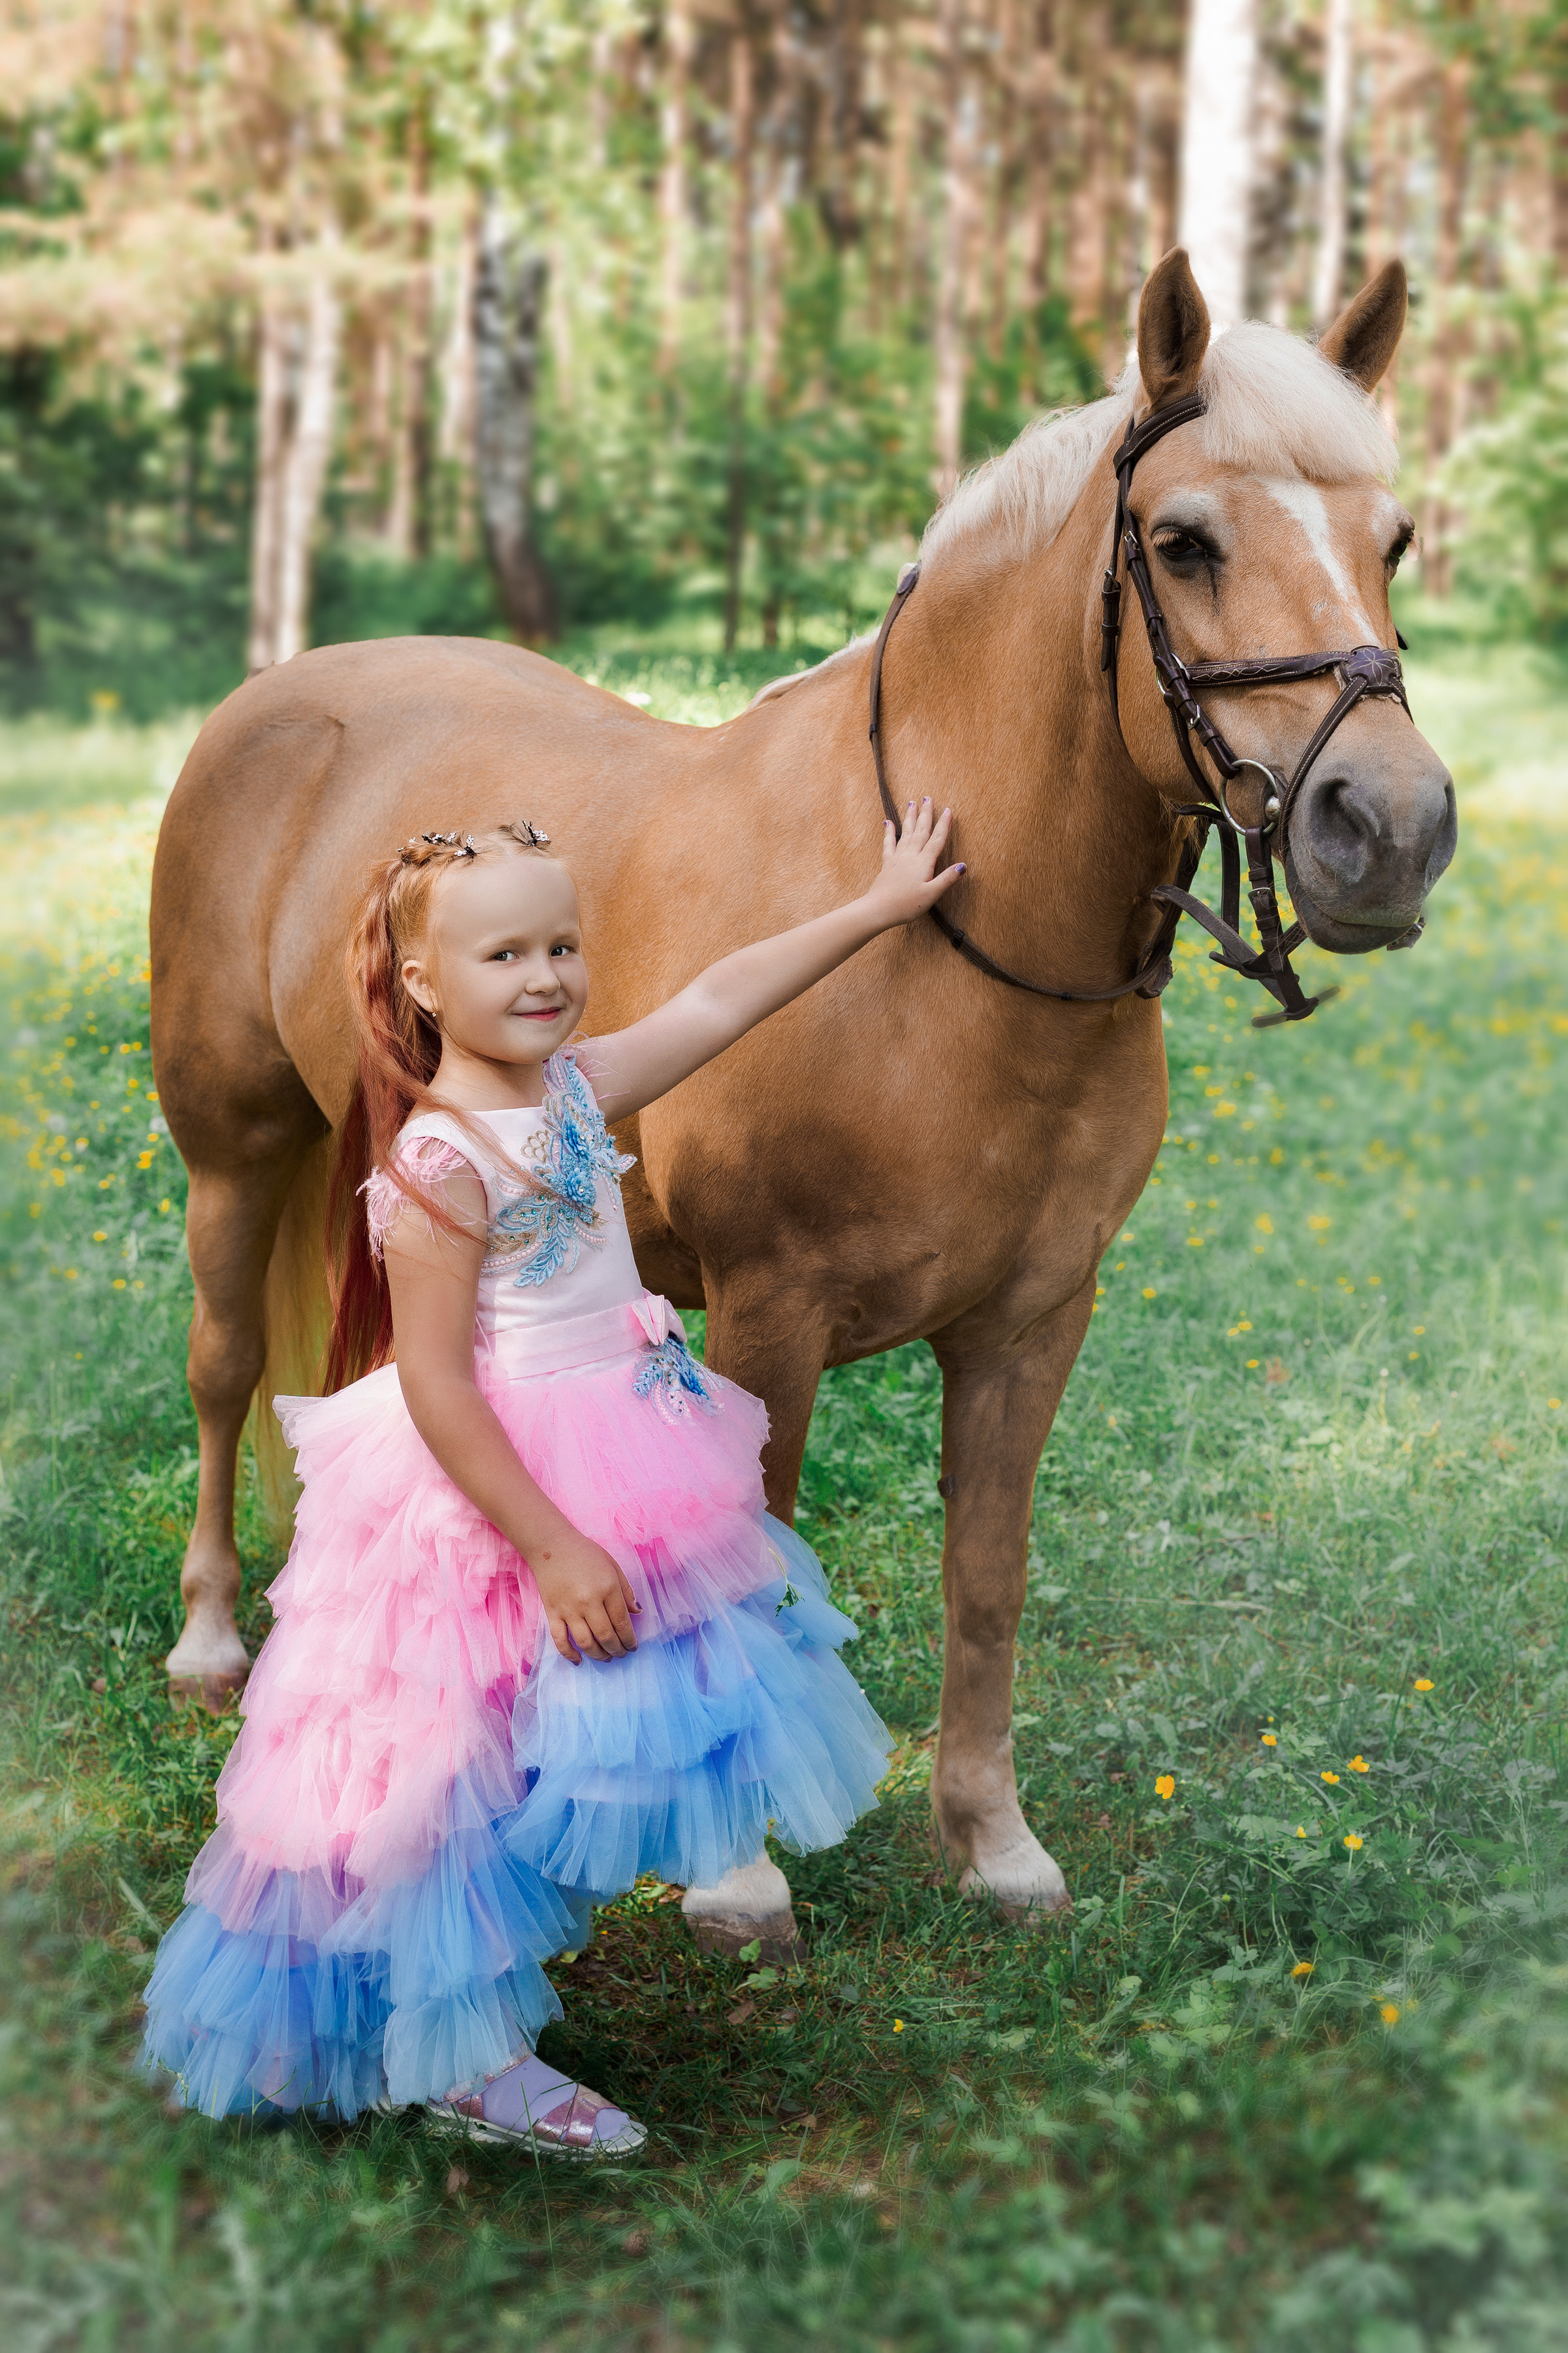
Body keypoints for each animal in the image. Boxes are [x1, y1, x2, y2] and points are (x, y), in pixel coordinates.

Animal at [148, 251, 1455, 1955]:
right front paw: (737, 1873)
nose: (1392, 828)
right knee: (226, 1367)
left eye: (1394, 541)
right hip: (232, 1154)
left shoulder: (1034, 1321)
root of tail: (279, 696)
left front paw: (991, 1838)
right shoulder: (772, 1312)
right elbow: (749, 1568)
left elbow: (988, 1568)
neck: (949, 949)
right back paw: (213, 1643)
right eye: (1185, 541)